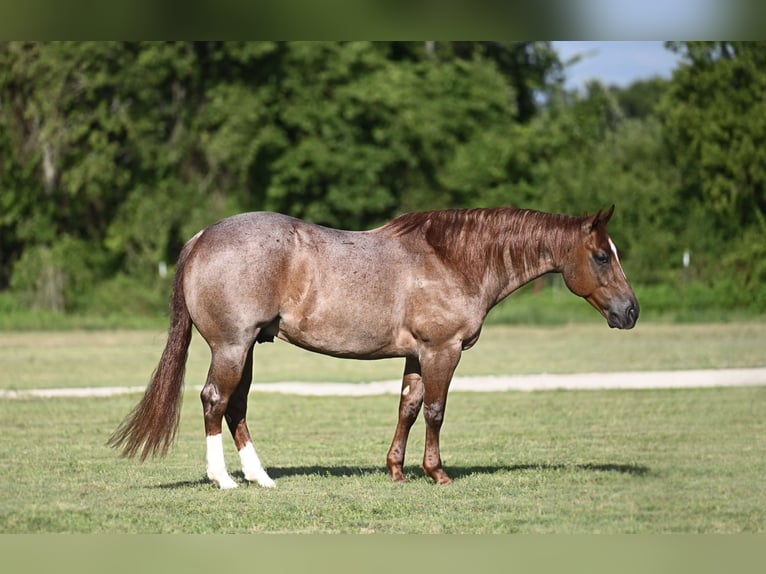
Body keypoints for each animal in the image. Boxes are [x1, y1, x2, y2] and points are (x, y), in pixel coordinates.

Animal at [109, 205, 639, 488]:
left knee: (237, 407)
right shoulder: (442, 351)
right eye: (600, 256)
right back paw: (222, 479)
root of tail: (203, 236)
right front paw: (437, 473)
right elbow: (436, 411)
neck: (453, 260)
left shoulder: (417, 355)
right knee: (215, 401)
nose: (630, 312)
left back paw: (260, 477)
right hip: (231, 347)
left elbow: (408, 407)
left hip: (249, 349)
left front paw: (397, 471)